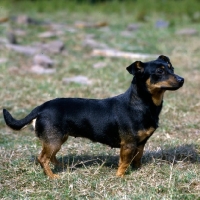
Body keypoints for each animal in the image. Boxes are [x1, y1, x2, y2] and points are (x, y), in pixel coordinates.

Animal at [3, 54, 184, 178]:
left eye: (172, 69)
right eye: (159, 72)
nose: (182, 79)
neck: (141, 103)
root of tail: (41, 107)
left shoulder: (140, 143)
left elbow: (137, 159)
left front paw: (138, 171)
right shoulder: (128, 144)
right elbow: (124, 162)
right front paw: (120, 177)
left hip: (57, 139)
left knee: (51, 157)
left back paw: (63, 167)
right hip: (54, 140)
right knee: (42, 158)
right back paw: (53, 177)